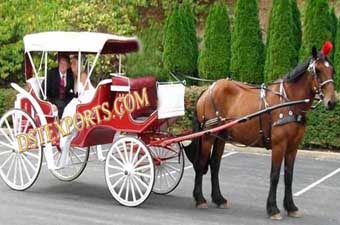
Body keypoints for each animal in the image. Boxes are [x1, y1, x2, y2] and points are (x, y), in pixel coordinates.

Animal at [185, 42, 336, 220]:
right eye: (317, 70)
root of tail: (208, 90)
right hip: (208, 136)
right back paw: (200, 198)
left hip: (220, 136)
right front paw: (273, 209)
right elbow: (275, 175)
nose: (332, 102)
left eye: (332, 70)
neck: (289, 102)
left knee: (215, 165)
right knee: (201, 164)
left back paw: (219, 198)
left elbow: (289, 176)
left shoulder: (293, 147)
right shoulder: (279, 145)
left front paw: (291, 207)